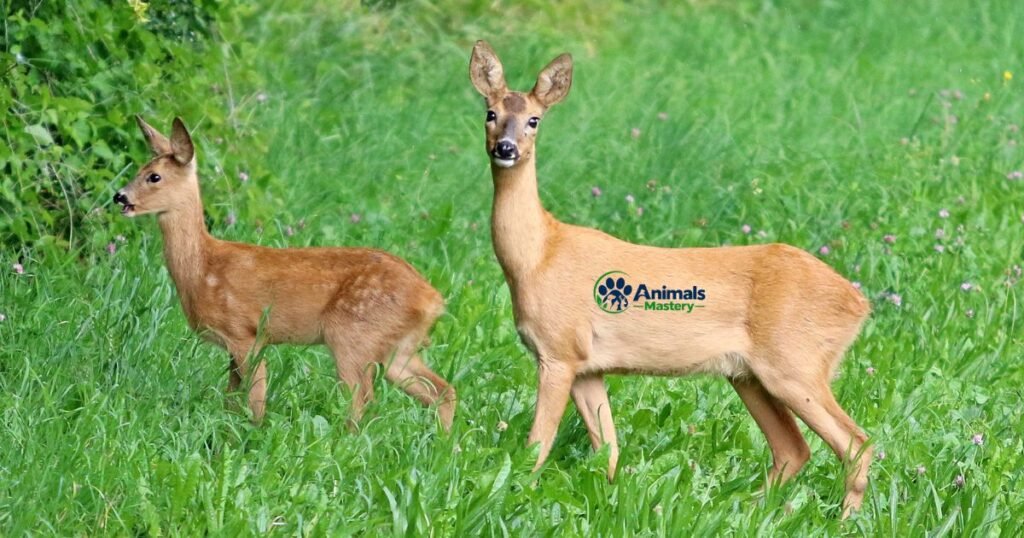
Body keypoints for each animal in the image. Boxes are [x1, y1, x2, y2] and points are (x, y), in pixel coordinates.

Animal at [113, 116, 456, 430]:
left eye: (154, 176)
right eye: (138, 170)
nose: (120, 196)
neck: (203, 269)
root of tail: (432, 299)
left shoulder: (246, 333)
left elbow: (255, 400)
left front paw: (250, 437)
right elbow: (231, 398)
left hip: (352, 335)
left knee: (362, 403)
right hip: (399, 347)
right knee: (443, 390)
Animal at [469, 40, 873, 518]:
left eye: (534, 119)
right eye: (490, 112)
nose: (506, 148)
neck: (538, 255)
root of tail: (859, 302)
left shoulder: (558, 350)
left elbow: (537, 445)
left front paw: (515, 498)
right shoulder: (588, 366)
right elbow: (608, 450)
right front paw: (609, 504)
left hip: (797, 361)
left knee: (856, 442)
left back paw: (843, 518)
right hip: (749, 374)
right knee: (793, 449)